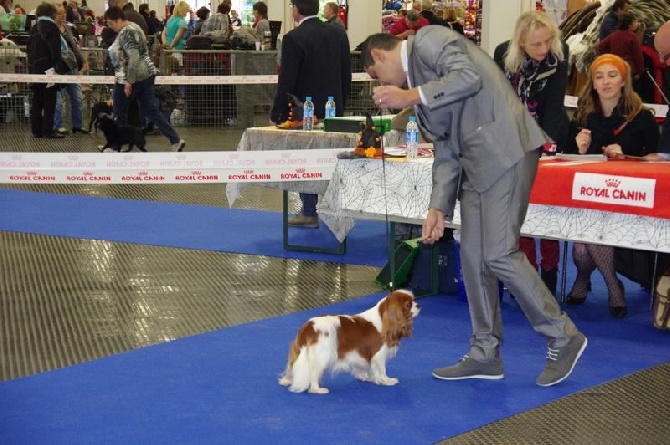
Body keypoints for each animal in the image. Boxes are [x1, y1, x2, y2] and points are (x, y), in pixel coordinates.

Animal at [280, 290, 420, 394]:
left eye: (414, 300)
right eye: (408, 305)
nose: (418, 305)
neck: (382, 318)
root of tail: (308, 327)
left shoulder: (360, 353)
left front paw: (365, 376)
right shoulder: (378, 354)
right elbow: (382, 369)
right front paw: (386, 380)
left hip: (298, 351)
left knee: (291, 366)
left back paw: (286, 380)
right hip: (322, 356)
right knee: (314, 374)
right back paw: (318, 389)